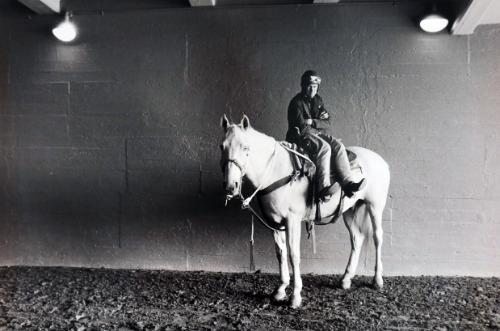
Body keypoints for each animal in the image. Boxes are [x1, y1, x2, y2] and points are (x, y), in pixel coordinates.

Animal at [220, 115, 390, 310]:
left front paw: (295, 296)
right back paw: (346, 279)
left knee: (377, 237)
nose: (230, 186)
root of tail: (381, 160)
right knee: (357, 238)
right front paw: (280, 289)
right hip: (350, 210)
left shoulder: (292, 221)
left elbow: (294, 255)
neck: (278, 171)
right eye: (222, 146)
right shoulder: (274, 223)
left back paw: (377, 280)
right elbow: (280, 253)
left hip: (375, 206)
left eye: (245, 147)